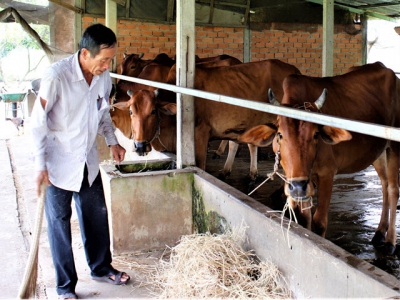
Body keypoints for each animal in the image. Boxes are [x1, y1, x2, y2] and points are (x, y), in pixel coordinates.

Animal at [111, 58, 300, 180]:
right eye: (131, 111)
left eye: (152, 111)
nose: (140, 146)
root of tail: (295, 71)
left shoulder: (200, 135)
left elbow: (200, 165)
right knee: (244, 144)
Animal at [239, 62, 398, 254]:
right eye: (279, 135)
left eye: (315, 134)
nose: (297, 186)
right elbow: (304, 218)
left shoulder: (327, 174)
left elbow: (319, 221)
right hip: (378, 152)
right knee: (384, 185)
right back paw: (380, 232)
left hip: (395, 147)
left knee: (393, 190)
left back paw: (390, 241)